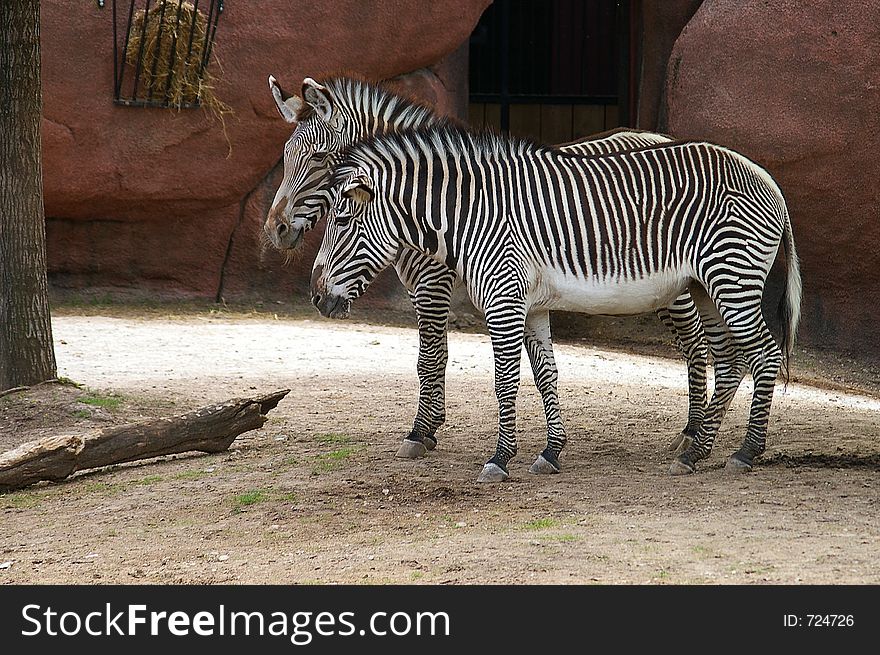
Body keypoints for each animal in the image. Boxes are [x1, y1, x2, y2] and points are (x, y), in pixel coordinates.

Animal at [262, 75, 708, 462]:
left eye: (319, 158)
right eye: (285, 157)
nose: (275, 230)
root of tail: (660, 137)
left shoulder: (433, 284)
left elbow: (430, 356)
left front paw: (421, 431)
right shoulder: (419, 285)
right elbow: (434, 355)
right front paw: (430, 426)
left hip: (675, 285)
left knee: (696, 342)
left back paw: (691, 434)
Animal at [312, 121, 804, 482]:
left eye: (342, 219)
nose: (316, 297)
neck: (472, 215)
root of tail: (767, 179)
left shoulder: (502, 297)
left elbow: (504, 382)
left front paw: (499, 459)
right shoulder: (531, 305)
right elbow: (546, 375)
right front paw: (551, 451)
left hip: (730, 277)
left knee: (763, 355)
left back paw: (745, 452)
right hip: (706, 287)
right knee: (731, 361)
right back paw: (695, 452)